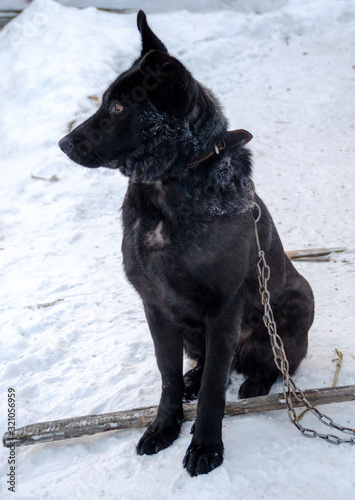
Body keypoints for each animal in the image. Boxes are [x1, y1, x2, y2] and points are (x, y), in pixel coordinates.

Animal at [59, 11, 318, 476]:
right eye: (105, 101)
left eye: (119, 107)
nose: (63, 143)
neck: (168, 187)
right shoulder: (156, 307)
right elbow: (167, 376)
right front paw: (165, 426)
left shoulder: (224, 309)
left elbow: (216, 386)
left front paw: (205, 446)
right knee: (208, 363)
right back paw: (192, 379)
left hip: (298, 300)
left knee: (271, 361)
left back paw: (256, 380)